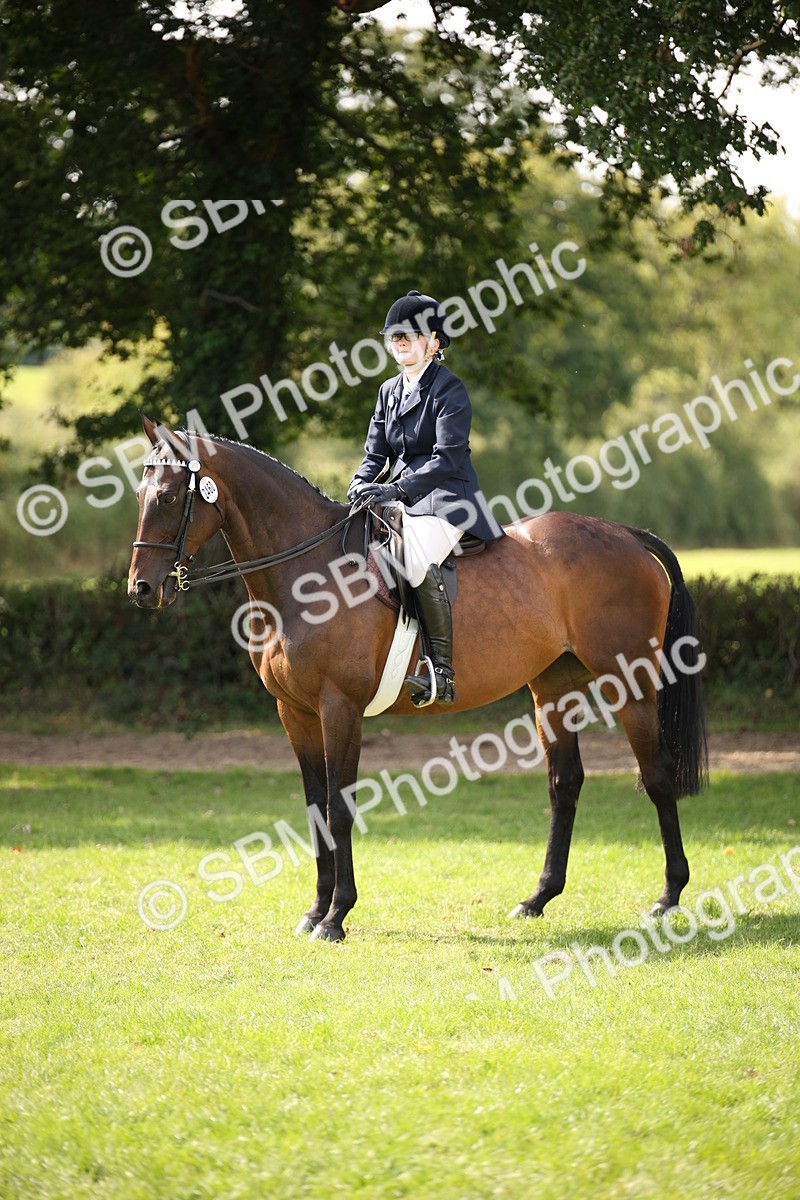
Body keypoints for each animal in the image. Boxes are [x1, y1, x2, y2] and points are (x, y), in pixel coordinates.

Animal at [128, 416, 707, 942]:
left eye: (169, 497)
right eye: (140, 494)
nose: (141, 590)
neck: (306, 575)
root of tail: (625, 534)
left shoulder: (340, 709)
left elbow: (339, 808)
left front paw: (336, 917)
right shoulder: (294, 713)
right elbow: (315, 810)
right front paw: (315, 912)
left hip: (630, 683)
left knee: (657, 776)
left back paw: (668, 896)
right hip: (553, 690)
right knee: (564, 784)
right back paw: (538, 898)